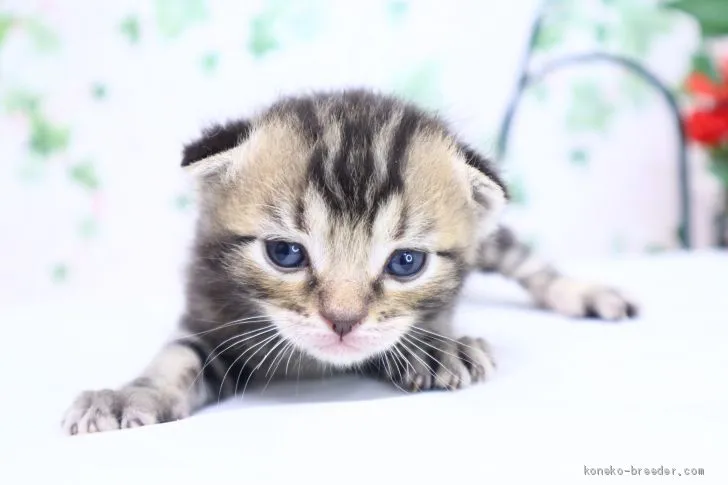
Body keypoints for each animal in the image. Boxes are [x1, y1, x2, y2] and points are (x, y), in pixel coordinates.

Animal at [61, 89, 636, 432]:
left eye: (405, 263)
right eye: (285, 253)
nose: (342, 321)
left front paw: (435, 349)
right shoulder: (211, 312)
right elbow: (176, 359)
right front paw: (127, 396)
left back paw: (585, 294)